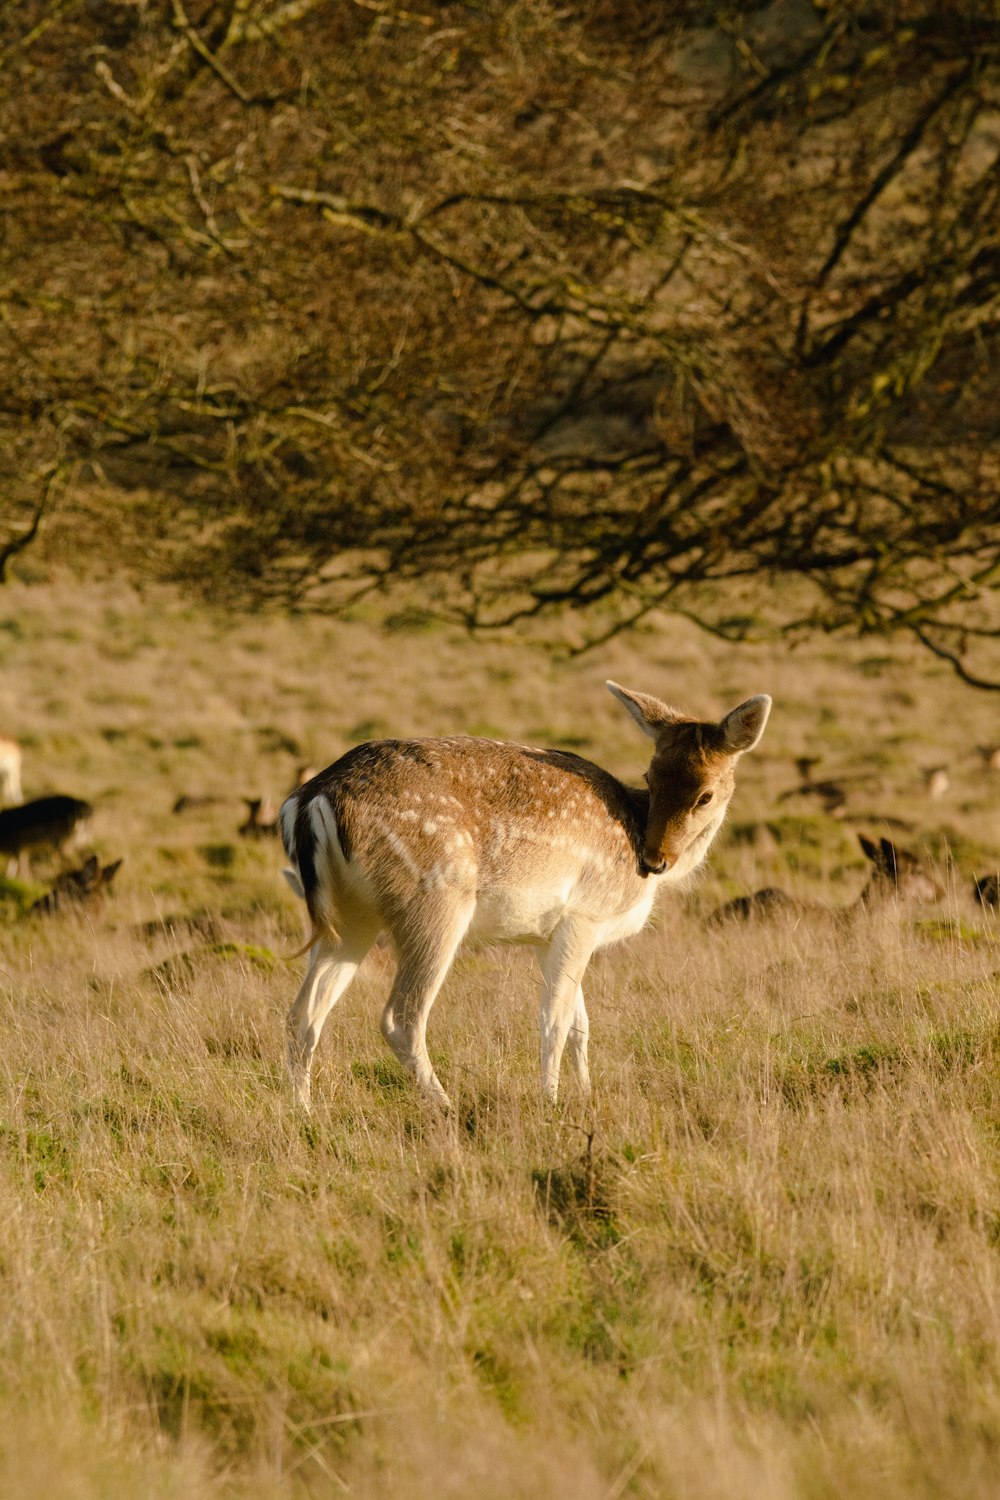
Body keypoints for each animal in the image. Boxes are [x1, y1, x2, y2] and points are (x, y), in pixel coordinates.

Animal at [277, 687, 773, 1110]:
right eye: (651, 777)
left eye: (705, 794)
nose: (655, 859)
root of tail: (309, 802)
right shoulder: (584, 915)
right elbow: (554, 1021)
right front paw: (551, 1103)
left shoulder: (546, 935)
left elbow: (580, 1025)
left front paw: (586, 1094)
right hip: (436, 901)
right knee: (400, 1017)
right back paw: (446, 1106)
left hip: (349, 917)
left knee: (302, 1013)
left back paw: (305, 1111)